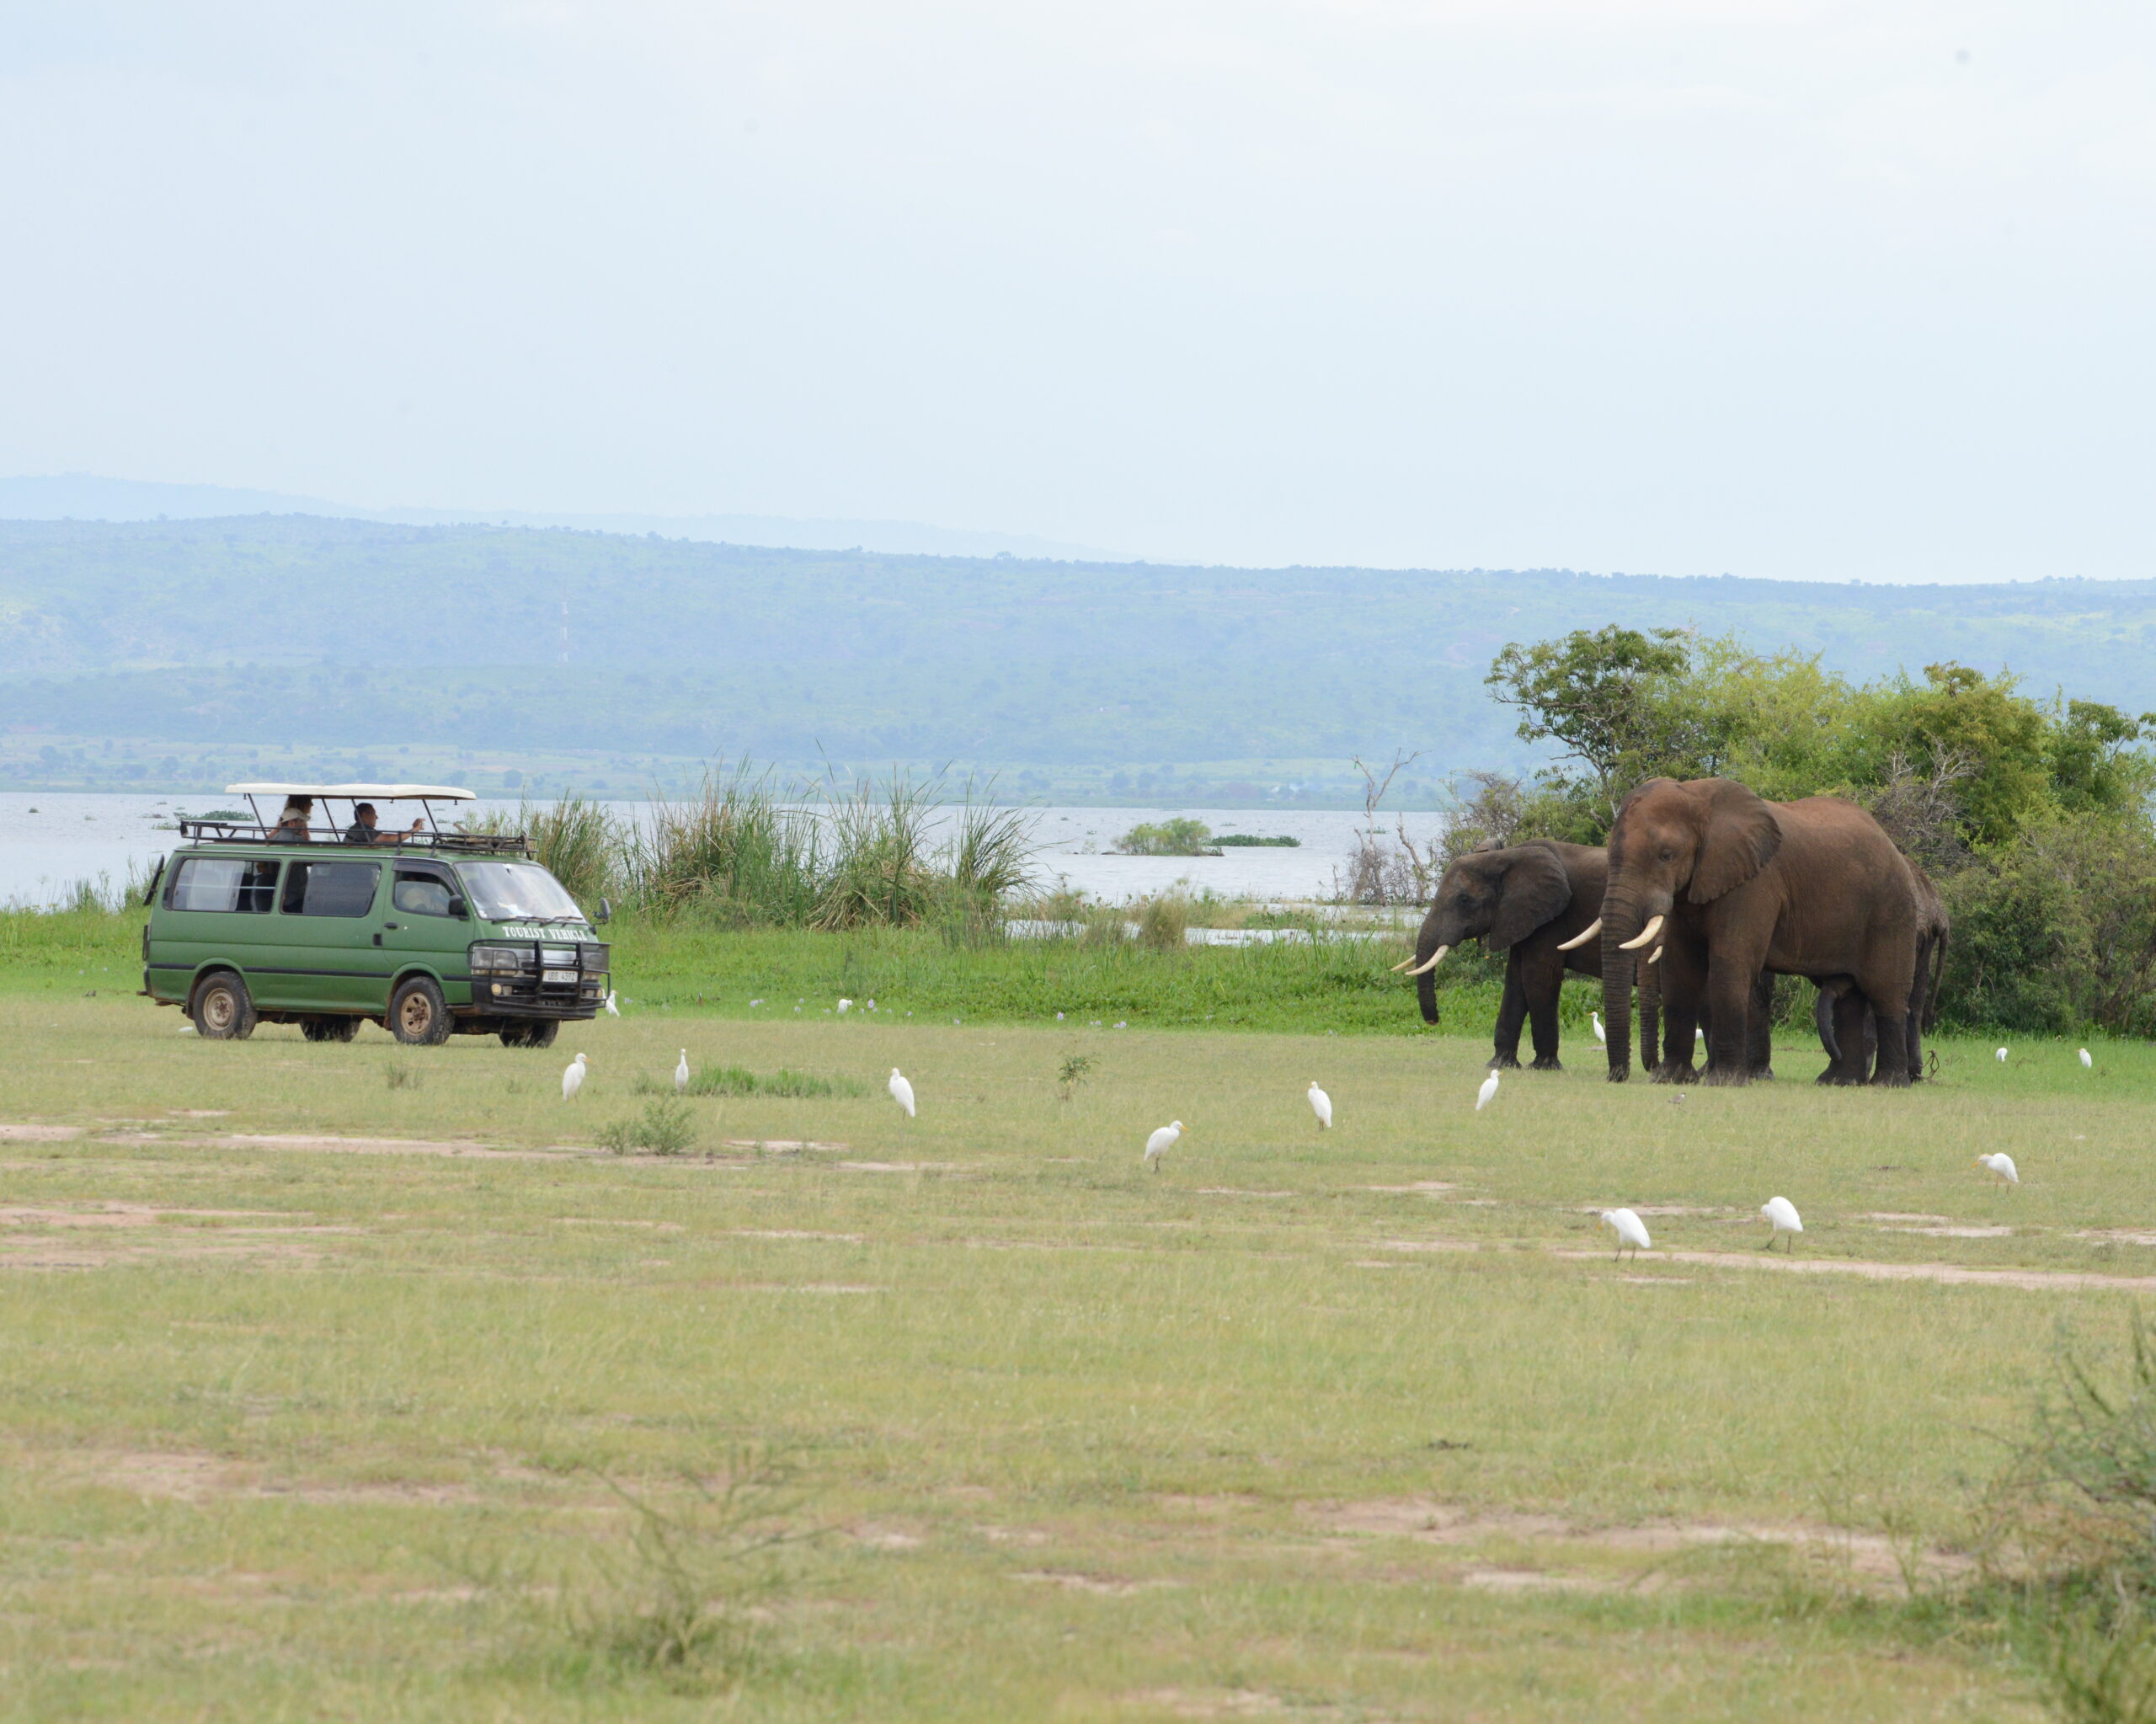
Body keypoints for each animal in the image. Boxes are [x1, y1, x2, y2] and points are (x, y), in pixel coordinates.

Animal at [1396, 840, 1646, 1069]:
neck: (1507, 856)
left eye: (1464, 900)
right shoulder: (1519, 917)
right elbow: (1515, 980)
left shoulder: (1552, 918)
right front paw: (1499, 1064)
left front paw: (1543, 1067)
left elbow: (1538, 976)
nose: (1433, 1021)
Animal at [1604, 776, 1923, 1086]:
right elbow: (1679, 970)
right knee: (1848, 999)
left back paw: (1888, 1084)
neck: (1696, 797)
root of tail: (1893, 846)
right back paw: (1839, 1082)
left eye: (1666, 855)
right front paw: (1670, 1080)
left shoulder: (1754, 882)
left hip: (1892, 910)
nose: (1615, 1077)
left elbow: (1730, 963)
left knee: (1886, 994)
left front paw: (1724, 1082)